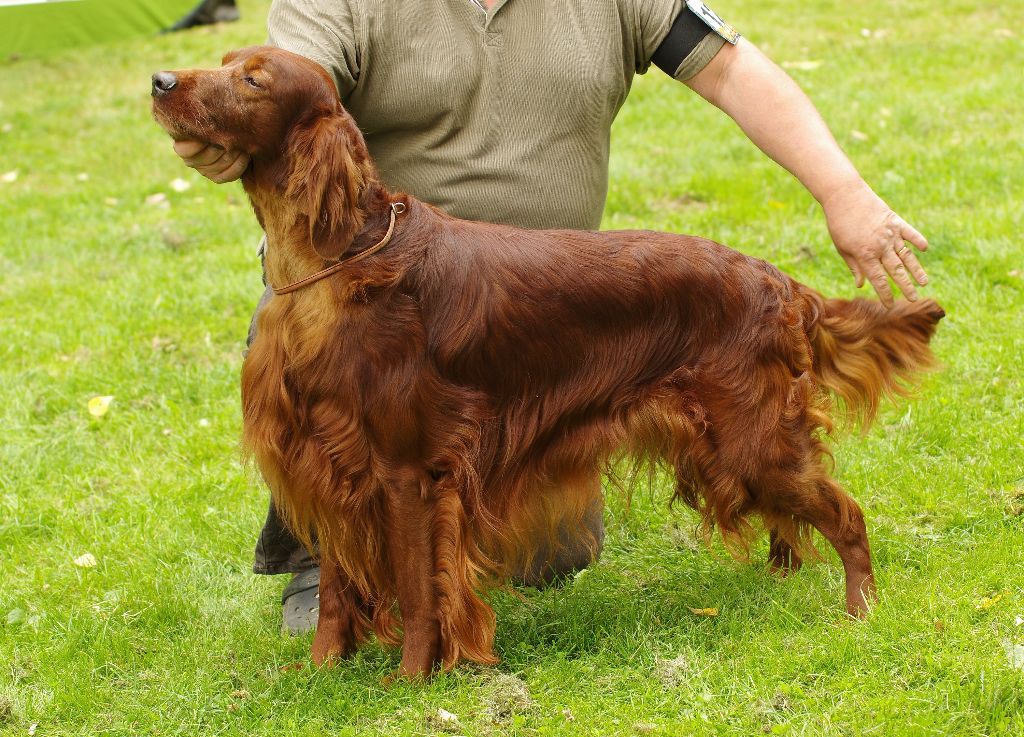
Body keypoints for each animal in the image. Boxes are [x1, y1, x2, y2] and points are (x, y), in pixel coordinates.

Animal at [151, 46, 942, 679]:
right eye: (223, 61)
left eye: (252, 79)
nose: (160, 81)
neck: (333, 262)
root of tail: (780, 282)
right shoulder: (331, 465)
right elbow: (338, 595)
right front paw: (321, 675)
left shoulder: (409, 471)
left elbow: (419, 591)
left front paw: (411, 682)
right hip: (735, 449)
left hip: (753, 439)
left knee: (847, 514)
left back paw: (861, 610)